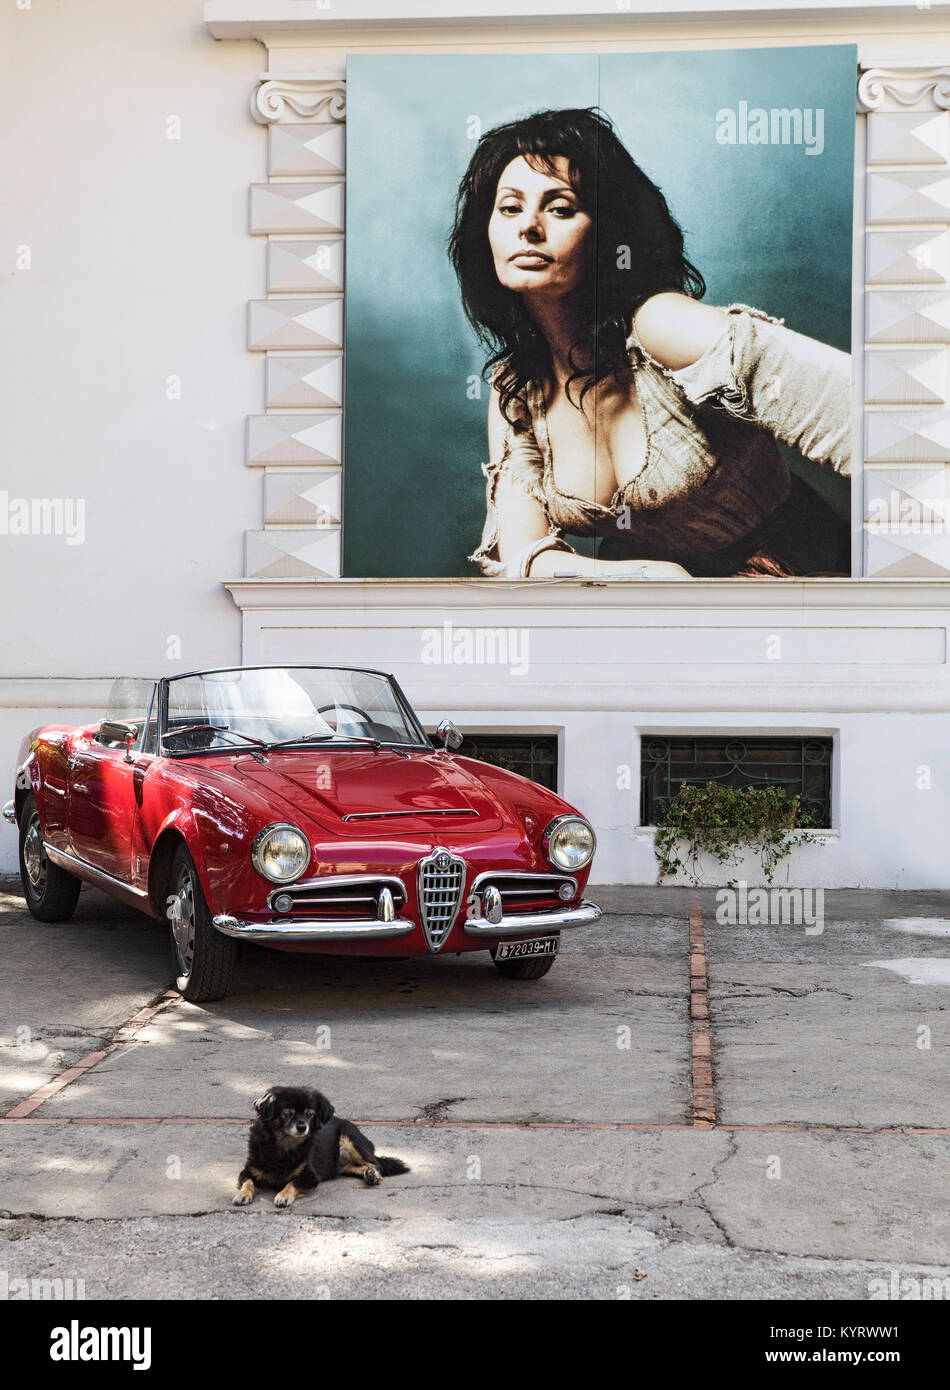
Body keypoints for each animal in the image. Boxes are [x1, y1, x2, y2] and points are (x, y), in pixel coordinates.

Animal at [236, 1084, 411, 1206]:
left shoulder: (310, 1177)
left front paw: (283, 1195)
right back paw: (367, 1174)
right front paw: (242, 1195)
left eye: (310, 1114)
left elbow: (292, 1182)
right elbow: (248, 1182)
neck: (284, 1147)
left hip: (350, 1139)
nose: (302, 1127)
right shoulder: (248, 1171)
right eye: (287, 1113)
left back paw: (373, 1175)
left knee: (376, 1164)